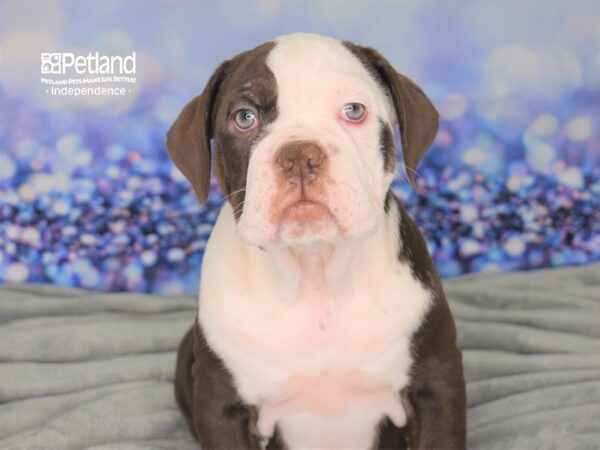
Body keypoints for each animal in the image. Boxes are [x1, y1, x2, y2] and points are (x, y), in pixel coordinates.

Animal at [171, 32, 466, 450]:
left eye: (354, 111)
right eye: (244, 117)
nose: (299, 155)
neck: (315, 272)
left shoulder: (437, 385)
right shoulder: (221, 407)